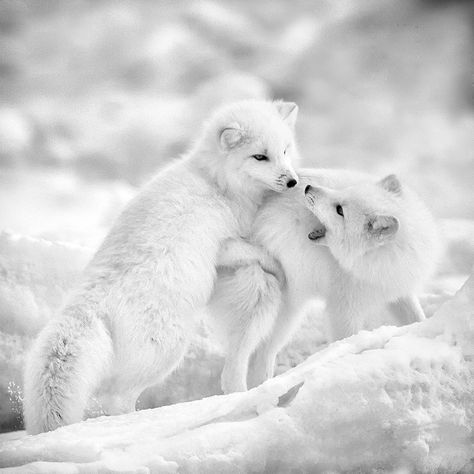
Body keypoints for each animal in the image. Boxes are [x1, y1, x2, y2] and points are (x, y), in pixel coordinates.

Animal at [23, 100, 300, 434]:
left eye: (285, 150)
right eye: (260, 156)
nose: (292, 181)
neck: (216, 182)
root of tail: (90, 303)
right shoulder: (223, 244)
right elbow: (257, 252)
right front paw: (278, 266)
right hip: (168, 350)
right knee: (118, 397)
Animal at [209, 169, 438, 392]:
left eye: (340, 210)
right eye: (342, 197)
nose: (308, 187)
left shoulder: (397, 290)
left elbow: (417, 317)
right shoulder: (343, 309)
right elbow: (346, 341)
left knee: (260, 357)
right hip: (270, 304)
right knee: (237, 365)